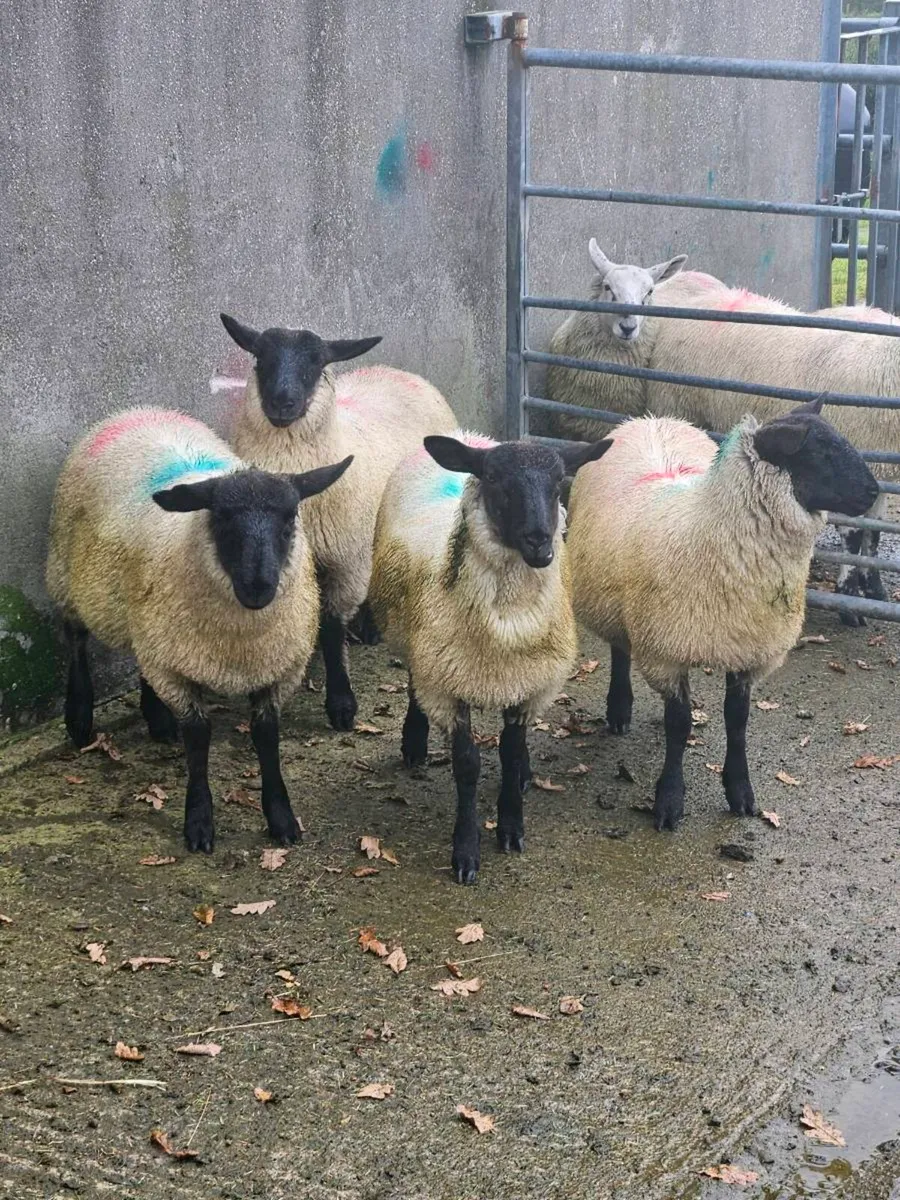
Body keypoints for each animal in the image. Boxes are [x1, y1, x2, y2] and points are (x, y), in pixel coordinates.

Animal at [46, 406, 352, 852]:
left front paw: (280, 817)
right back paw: (80, 717)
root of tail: (137, 410)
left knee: (141, 658)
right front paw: (199, 822)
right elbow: (198, 738)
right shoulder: (177, 667)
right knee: (76, 642)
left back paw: (157, 720)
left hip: (151, 623)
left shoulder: (277, 667)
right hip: (66, 576)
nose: (259, 586)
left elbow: (266, 736)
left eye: (290, 517)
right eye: (221, 517)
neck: (240, 644)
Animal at [222, 314, 458, 732]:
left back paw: (370, 628)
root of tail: (398, 371)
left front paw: (341, 703)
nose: (282, 402)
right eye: (260, 357)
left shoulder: (344, 559)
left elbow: (332, 629)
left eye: (316, 362)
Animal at [369, 431, 610, 883]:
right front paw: (465, 851)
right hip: (415, 639)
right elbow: (467, 765)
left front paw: (512, 825)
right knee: (413, 681)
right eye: (494, 478)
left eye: (558, 483)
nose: (539, 541)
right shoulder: (448, 684)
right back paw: (413, 741)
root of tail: (469, 438)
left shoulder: (529, 683)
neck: (507, 625)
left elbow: (510, 754)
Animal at [566, 398, 879, 832]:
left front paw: (740, 791)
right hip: (613, 599)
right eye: (820, 452)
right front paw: (669, 800)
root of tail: (649, 420)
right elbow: (678, 726)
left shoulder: (748, 648)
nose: (875, 491)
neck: (708, 532)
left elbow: (738, 721)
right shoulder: (665, 651)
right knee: (619, 649)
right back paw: (618, 708)